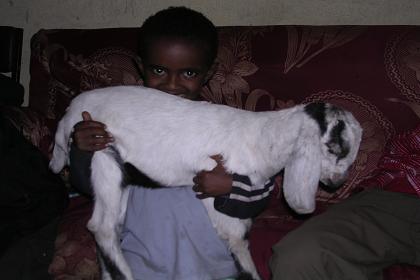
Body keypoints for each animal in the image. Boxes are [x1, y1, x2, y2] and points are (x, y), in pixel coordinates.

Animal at [49, 85, 362, 280]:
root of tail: (67, 116)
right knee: (101, 228)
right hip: (103, 153)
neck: (264, 138)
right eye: (335, 148)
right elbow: (240, 248)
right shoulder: (223, 212)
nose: (338, 183)